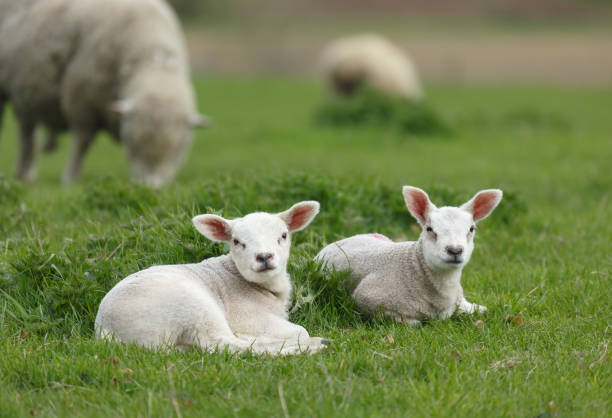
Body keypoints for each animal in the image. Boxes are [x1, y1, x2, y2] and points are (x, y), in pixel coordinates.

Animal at [0, 0, 208, 186]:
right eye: (132, 143)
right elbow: (82, 142)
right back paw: (25, 175)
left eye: (180, 149)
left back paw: (24, 174)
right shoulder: (82, 101)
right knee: (27, 137)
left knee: (28, 133)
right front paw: (70, 178)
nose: (151, 186)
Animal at [94, 201, 330, 354]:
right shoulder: (248, 316)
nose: (264, 256)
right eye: (236, 241)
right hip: (192, 306)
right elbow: (301, 330)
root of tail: (107, 330)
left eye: (283, 235)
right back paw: (312, 347)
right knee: (223, 345)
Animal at [316, 187, 502, 326]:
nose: (455, 250)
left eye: (471, 229)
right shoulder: (366, 298)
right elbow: (413, 322)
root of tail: (338, 241)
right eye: (429, 229)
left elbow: (482, 309)